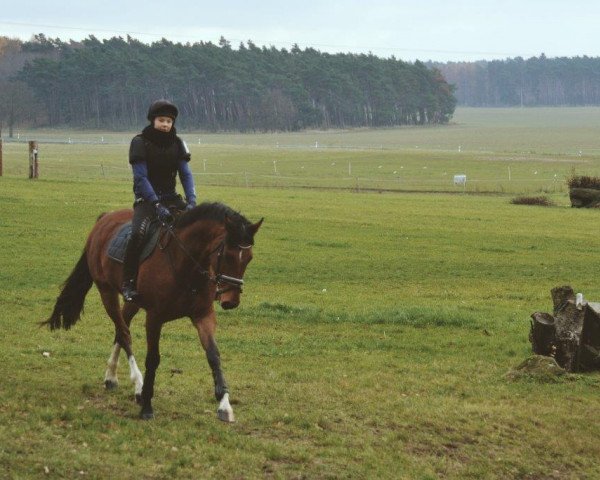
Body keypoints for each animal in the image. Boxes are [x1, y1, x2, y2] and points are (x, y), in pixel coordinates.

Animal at [43, 202, 264, 420]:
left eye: (249, 258)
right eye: (227, 255)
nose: (231, 301)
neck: (185, 265)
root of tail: (105, 218)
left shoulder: (203, 315)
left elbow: (214, 355)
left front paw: (224, 405)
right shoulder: (154, 318)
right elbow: (153, 358)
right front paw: (147, 405)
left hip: (133, 302)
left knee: (121, 328)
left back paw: (111, 377)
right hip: (107, 292)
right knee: (124, 334)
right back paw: (138, 385)